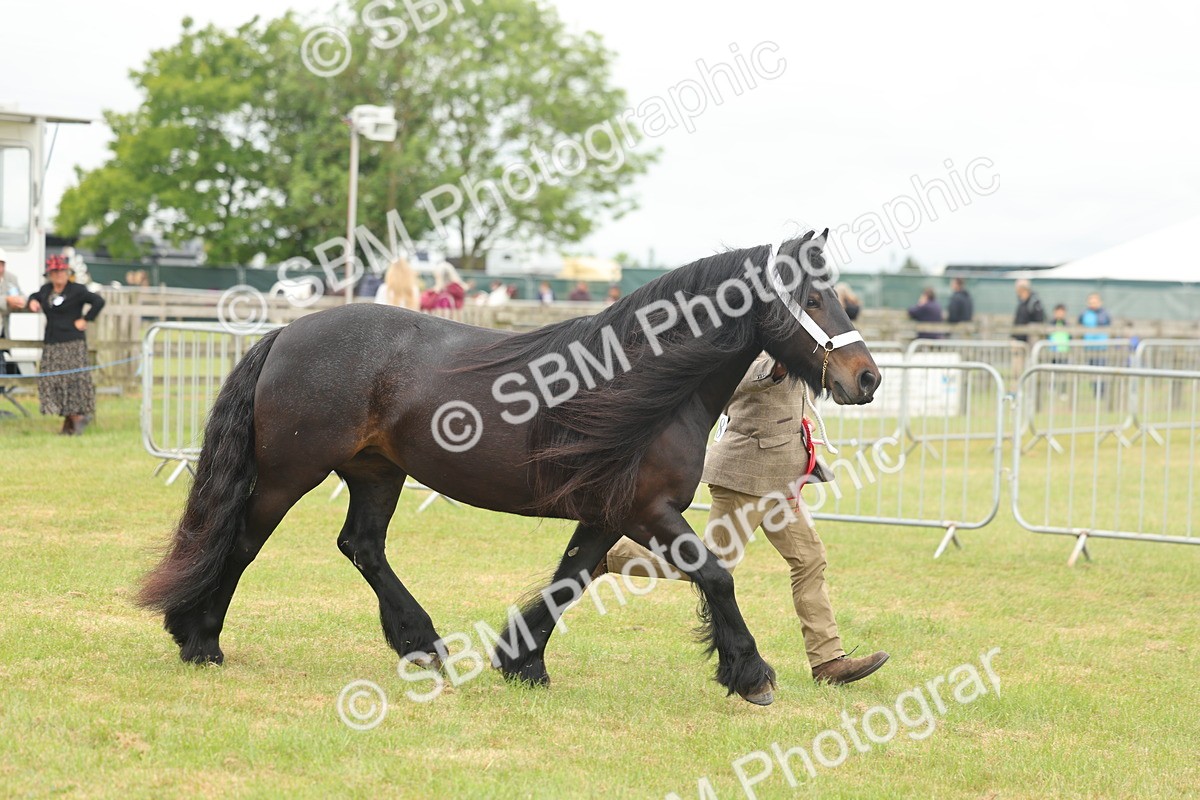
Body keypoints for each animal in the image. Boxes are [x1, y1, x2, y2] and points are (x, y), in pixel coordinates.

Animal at [137, 231, 880, 705]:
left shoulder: (607, 512)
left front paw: (523, 662)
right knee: (242, 540)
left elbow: (570, 580)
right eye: (815, 299)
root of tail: (287, 332)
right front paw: (751, 674)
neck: (642, 383)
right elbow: (716, 575)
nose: (867, 378)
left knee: (361, 545)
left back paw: (422, 644)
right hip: (290, 474)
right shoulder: (649, 509)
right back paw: (199, 639)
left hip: (377, 472)